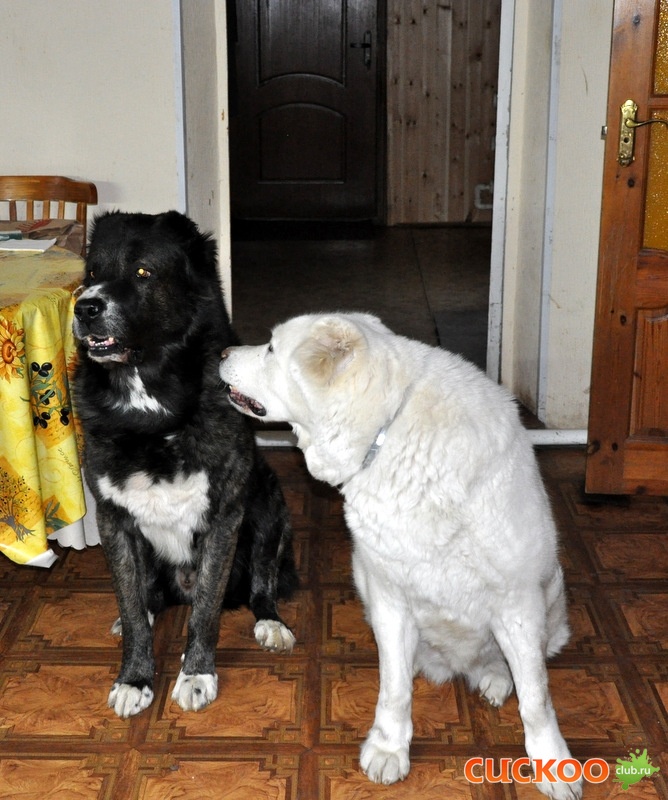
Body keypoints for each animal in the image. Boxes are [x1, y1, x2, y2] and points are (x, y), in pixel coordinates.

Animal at [72, 211, 298, 719]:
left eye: (142, 272)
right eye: (92, 272)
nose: (84, 308)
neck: (150, 409)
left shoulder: (224, 518)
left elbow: (206, 612)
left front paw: (196, 674)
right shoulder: (113, 519)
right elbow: (133, 606)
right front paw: (135, 677)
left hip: (270, 502)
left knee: (262, 581)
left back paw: (270, 622)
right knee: (148, 596)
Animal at [219, 312, 582, 799]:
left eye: (272, 349)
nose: (220, 352)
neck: (388, 430)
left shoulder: (518, 602)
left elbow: (537, 699)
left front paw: (551, 762)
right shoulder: (390, 599)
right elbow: (394, 688)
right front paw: (390, 747)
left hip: (550, 590)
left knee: (513, 664)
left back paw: (494, 676)